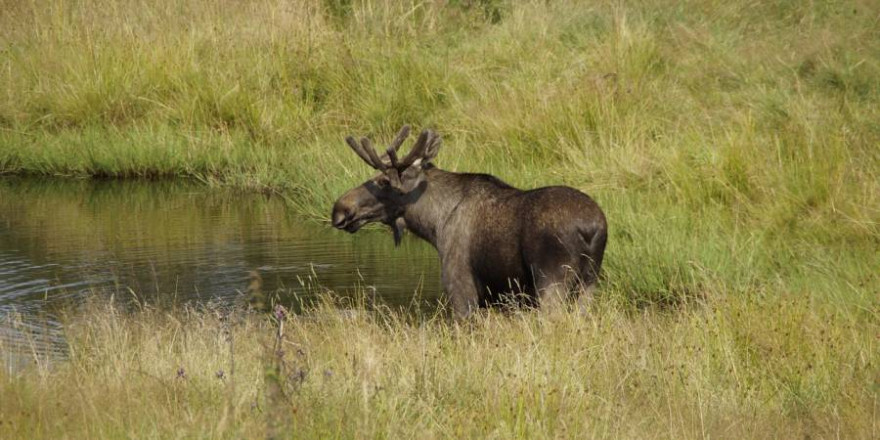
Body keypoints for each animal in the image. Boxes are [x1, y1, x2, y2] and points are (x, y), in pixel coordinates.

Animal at [330, 125, 604, 318]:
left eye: (383, 181)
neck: (433, 223)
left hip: (552, 282)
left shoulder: (461, 291)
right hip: (589, 283)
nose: (340, 209)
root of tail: (591, 229)